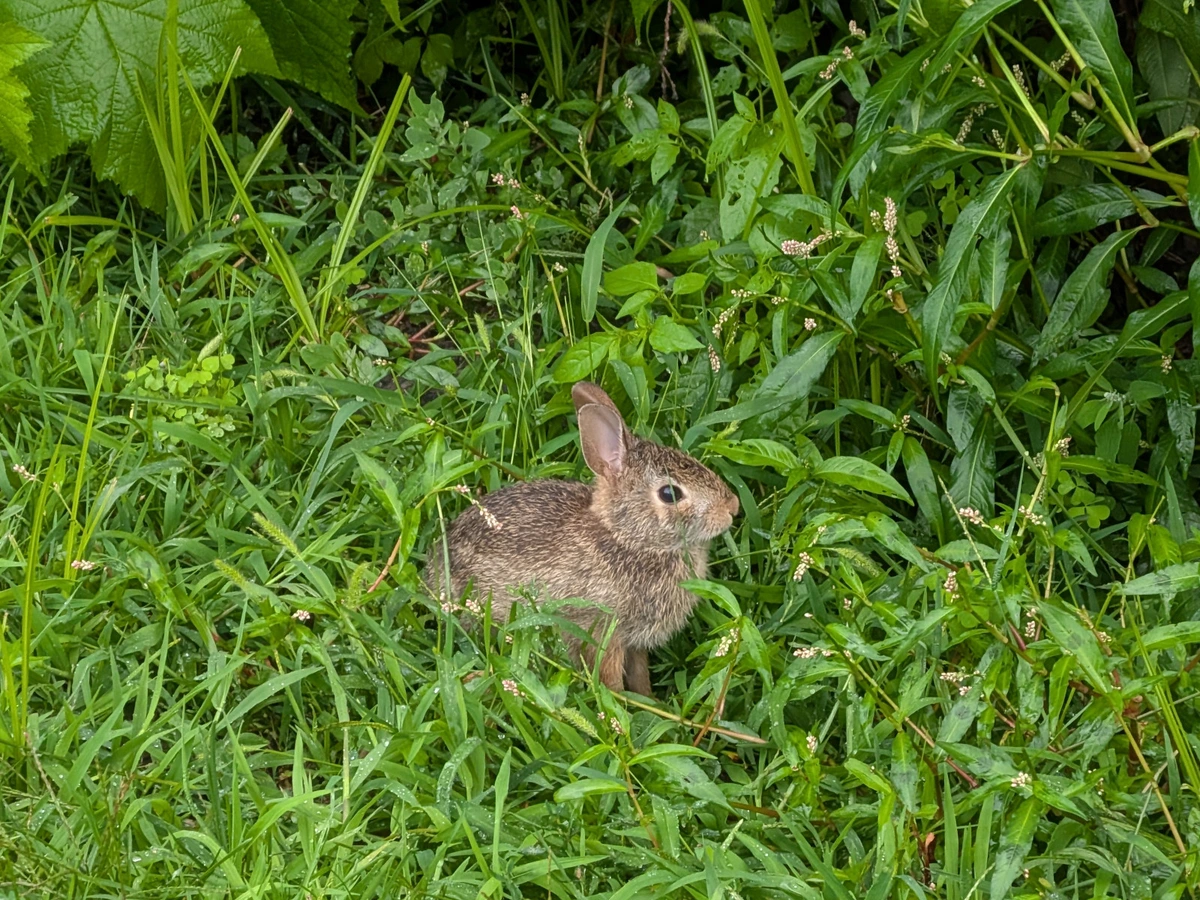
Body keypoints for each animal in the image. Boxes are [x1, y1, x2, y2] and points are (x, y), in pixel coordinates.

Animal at [426, 381, 740, 695]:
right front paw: (621, 703)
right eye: (669, 494)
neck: (628, 538)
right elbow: (609, 679)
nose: (732, 507)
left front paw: (649, 700)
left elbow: (640, 674)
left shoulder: (634, 643)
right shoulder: (601, 631)